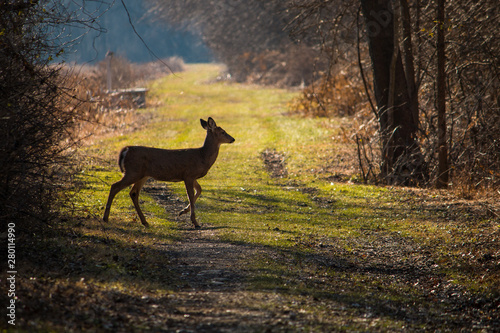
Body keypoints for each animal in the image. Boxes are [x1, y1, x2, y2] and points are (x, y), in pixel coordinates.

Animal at [102, 116, 235, 228]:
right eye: (223, 132)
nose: (233, 139)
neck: (202, 156)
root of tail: (126, 149)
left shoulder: (191, 176)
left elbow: (199, 190)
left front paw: (183, 211)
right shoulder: (189, 174)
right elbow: (191, 195)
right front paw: (195, 222)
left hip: (142, 175)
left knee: (133, 193)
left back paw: (145, 221)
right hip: (133, 172)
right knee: (115, 186)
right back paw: (105, 218)